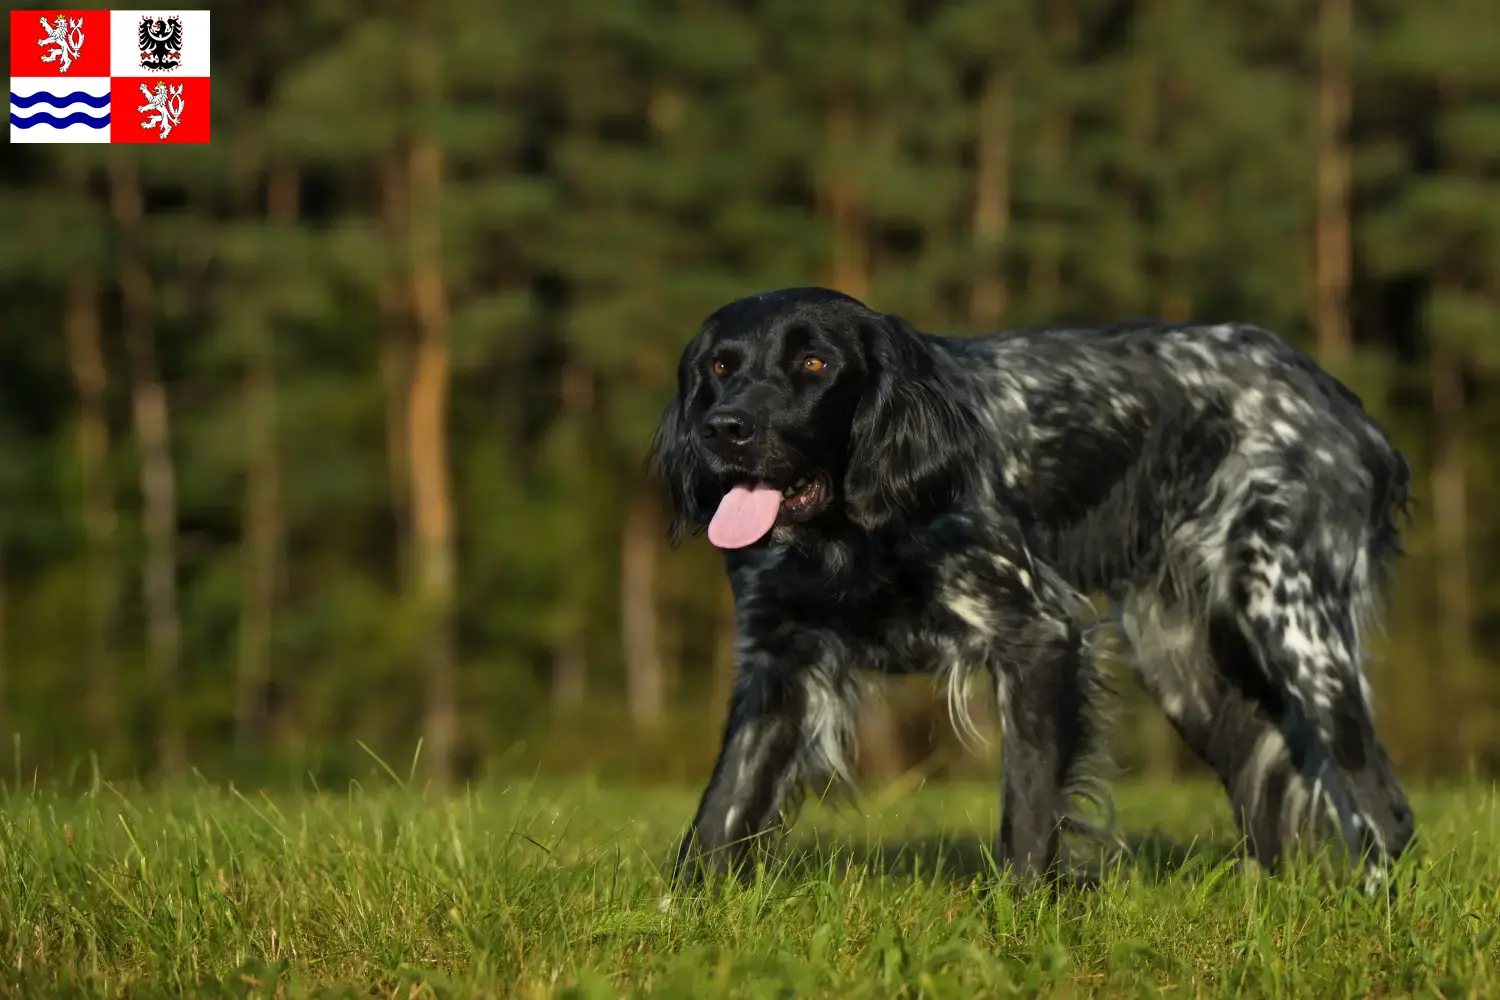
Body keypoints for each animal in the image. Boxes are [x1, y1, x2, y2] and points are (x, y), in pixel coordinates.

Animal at [648, 287, 1416, 893]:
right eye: (720, 367)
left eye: (814, 364)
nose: (723, 429)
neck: (853, 535)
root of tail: (1347, 410)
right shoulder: (779, 667)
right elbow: (719, 816)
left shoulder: (1039, 635)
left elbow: (1029, 809)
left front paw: (1019, 923)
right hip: (1187, 667)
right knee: (1267, 789)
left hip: (1298, 633)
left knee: (1383, 805)